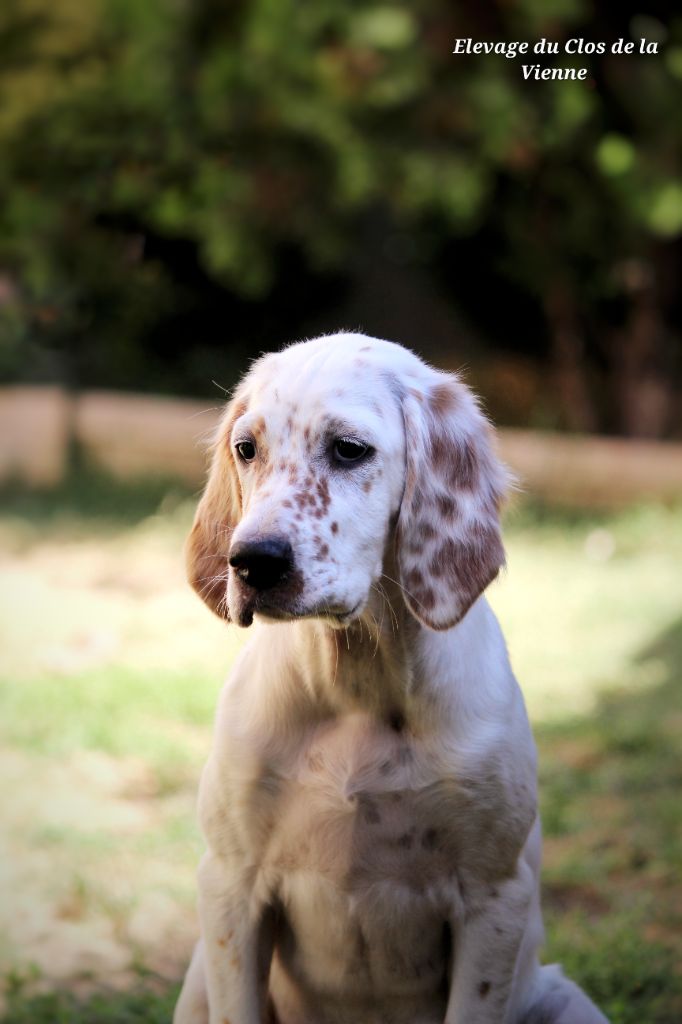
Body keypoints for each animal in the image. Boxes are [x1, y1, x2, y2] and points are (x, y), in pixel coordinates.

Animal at [174, 333, 606, 1024]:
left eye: (349, 449)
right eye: (247, 449)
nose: (250, 562)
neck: (357, 686)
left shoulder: (494, 898)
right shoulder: (230, 886)